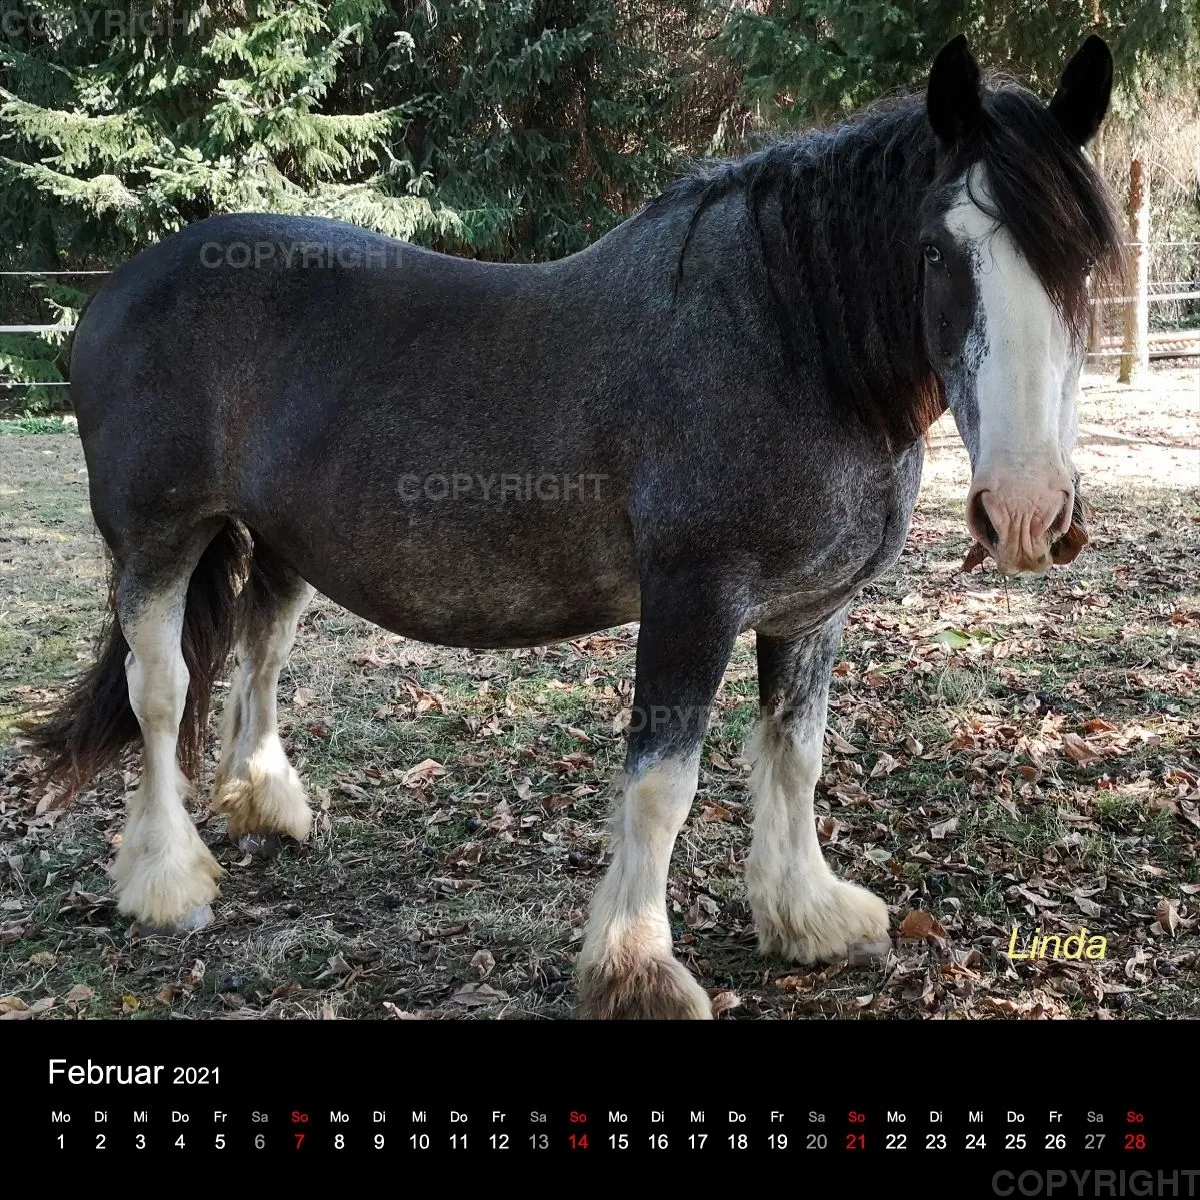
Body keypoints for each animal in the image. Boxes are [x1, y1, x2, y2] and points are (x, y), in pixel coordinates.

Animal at [28, 35, 1122, 1019]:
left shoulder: (809, 613)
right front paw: (637, 971)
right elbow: (662, 785)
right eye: (937, 250)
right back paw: (168, 881)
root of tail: (121, 288)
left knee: (260, 650)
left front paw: (807, 915)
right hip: (158, 542)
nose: (1028, 511)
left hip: (283, 544)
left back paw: (268, 804)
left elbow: (796, 756)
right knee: (161, 692)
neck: (790, 344)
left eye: (1086, 260)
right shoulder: (694, 601)